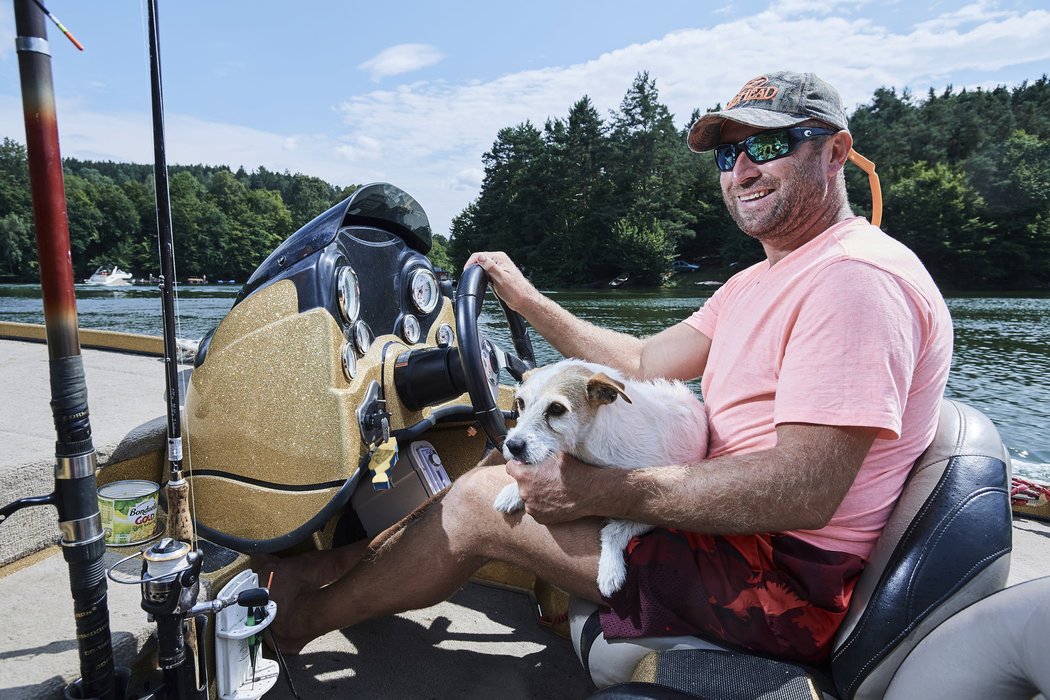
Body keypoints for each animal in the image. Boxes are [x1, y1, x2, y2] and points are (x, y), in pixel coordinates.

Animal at [493, 361, 709, 596]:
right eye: (520, 402)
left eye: (556, 409)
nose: (513, 446)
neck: (589, 442)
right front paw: (511, 492)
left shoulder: (653, 507)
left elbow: (613, 531)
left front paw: (610, 570)